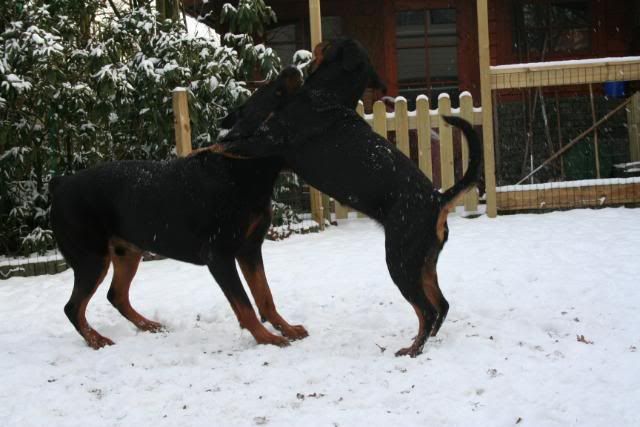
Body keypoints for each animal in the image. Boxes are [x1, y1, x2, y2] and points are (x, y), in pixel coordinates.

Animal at [50, 67, 310, 350]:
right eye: (276, 91)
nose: (292, 69)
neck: (242, 167)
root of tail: (59, 184)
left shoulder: (249, 248)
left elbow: (265, 296)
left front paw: (286, 328)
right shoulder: (219, 255)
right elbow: (244, 305)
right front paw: (267, 338)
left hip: (126, 251)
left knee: (116, 295)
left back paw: (148, 325)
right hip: (91, 256)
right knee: (72, 307)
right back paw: (97, 339)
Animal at [218, 37, 482, 358]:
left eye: (329, 44)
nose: (316, 44)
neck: (327, 94)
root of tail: (438, 200)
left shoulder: (264, 142)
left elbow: (222, 144)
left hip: (400, 260)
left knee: (427, 310)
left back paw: (412, 350)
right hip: (424, 262)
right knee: (441, 306)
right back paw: (424, 342)